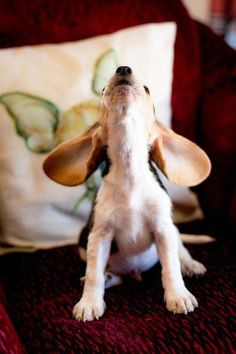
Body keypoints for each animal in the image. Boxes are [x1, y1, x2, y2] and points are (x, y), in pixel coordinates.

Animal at [43, 65, 212, 320]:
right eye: (104, 89)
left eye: (147, 88)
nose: (123, 68)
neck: (128, 165)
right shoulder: (99, 235)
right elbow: (93, 274)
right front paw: (89, 302)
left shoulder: (163, 228)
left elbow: (170, 267)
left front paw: (178, 296)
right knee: (110, 275)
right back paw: (108, 277)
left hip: (171, 229)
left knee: (180, 248)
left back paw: (190, 264)